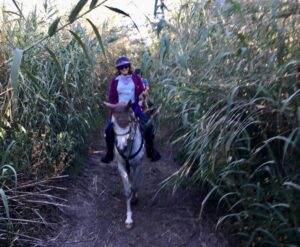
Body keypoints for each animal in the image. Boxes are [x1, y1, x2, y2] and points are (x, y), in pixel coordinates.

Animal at [104, 101, 144, 230]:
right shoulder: (121, 166)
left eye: (129, 120)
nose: (121, 146)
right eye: (113, 123)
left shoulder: (138, 165)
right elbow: (127, 190)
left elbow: (135, 186)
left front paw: (134, 199)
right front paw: (129, 219)